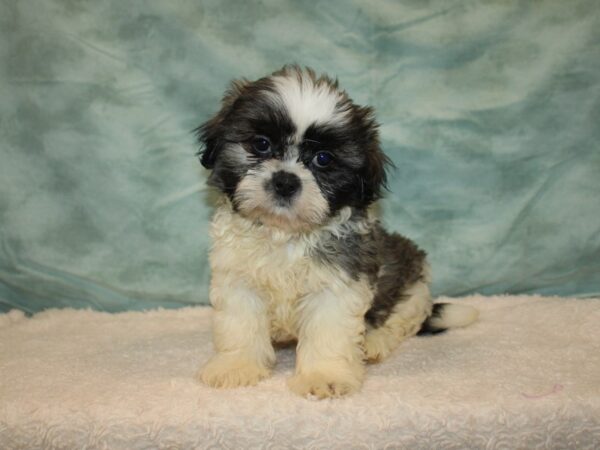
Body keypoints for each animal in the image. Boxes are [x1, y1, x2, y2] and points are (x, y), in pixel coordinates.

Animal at [197, 66, 478, 398]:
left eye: (324, 159)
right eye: (261, 144)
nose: (285, 181)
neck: (287, 235)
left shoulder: (338, 283)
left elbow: (327, 331)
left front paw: (323, 375)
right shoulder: (237, 279)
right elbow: (239, 324)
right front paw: (236, 366)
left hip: (414, 285)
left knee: (401, 320)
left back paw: (374, 342)